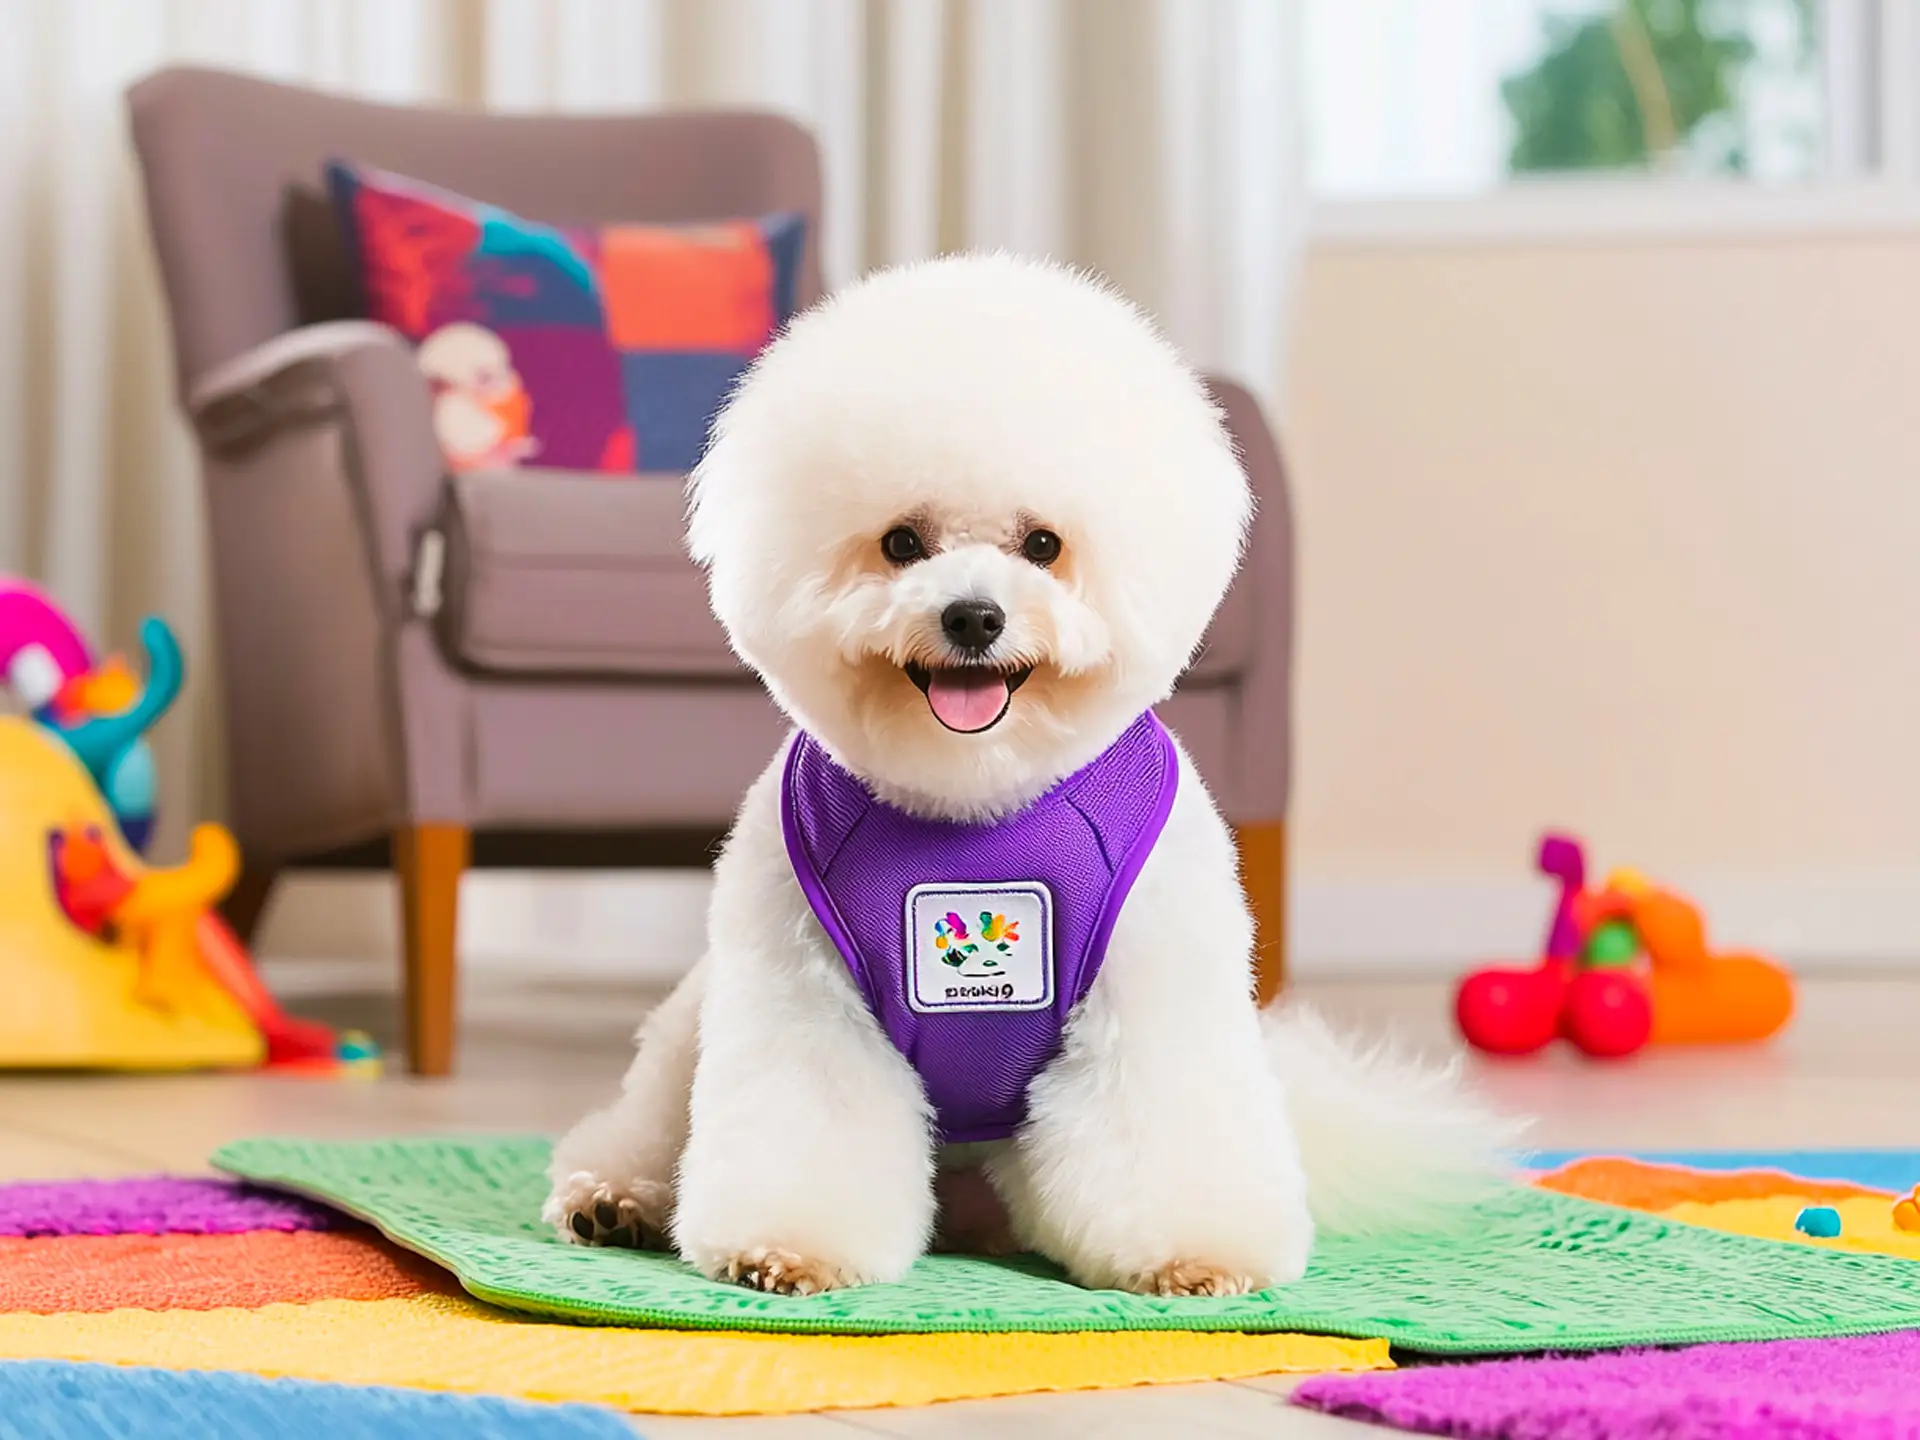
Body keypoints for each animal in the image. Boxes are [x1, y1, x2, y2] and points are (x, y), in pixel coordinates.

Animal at [545, 253, 1512, 1305]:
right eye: (902, 542)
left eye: (1043, 545)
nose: (973, 617)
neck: (976, 803)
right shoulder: (805, 994)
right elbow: (810, 1117)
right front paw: (787, 1246)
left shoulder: (1151, 989)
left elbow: (1161, 1128)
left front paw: (1195, 1254)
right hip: (695, 1026)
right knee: (646, 1122)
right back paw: (615, 1197)